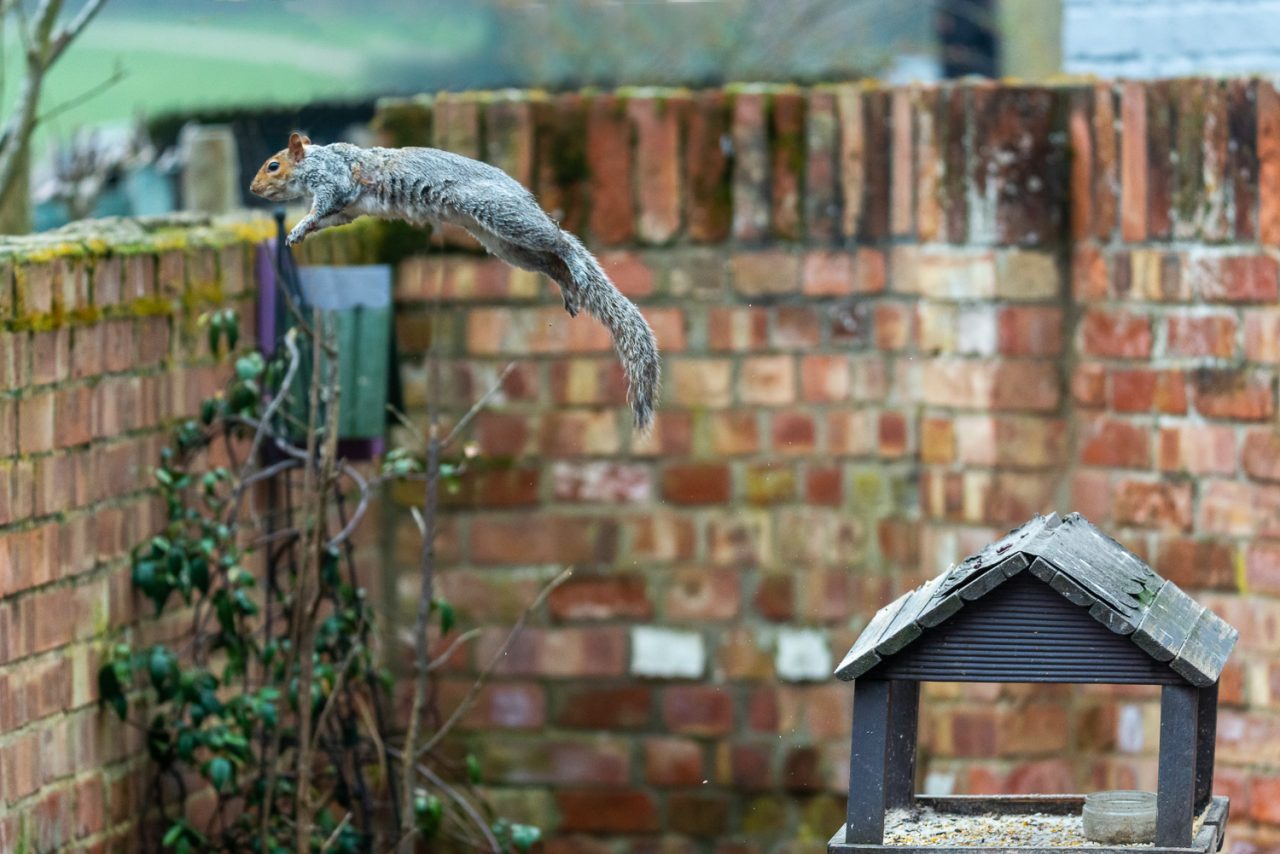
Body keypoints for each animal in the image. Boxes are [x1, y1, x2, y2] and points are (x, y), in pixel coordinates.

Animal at [249, 132, 660, 430]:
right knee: (550, 262)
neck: (316, 159)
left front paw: (299, 226)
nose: (253, 189)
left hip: (503, 215)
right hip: (505, 244)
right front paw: (303, 230)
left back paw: (573, 262)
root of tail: (525, 196)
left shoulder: (334, 182)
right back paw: (569, 287)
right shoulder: (346, 210)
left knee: (559, 242)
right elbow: (331, 217)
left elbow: (325, 202)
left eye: (273, 165)